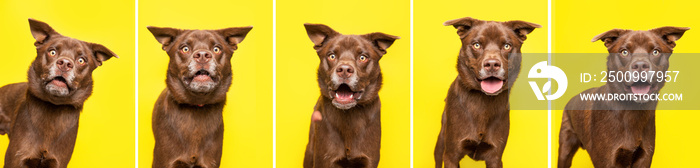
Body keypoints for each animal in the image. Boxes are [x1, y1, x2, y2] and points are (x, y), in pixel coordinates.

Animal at [0, 18, 117, 168]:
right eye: (52, 52)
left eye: (81, 60)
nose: (65, 63)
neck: (53, 106)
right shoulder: (15, 161)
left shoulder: (58, 162)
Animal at [302, 23, 400, 168]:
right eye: (332, 56)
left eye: (363, 57)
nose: (344, 70)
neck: (349, 114)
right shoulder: (324, 160)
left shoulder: (369, 160)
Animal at [432, 17, 540, 168]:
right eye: (476, 45)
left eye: (507, 46)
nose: (492, 64)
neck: (483, 100)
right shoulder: (451, 156)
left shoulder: (495, 157)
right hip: (441, 141)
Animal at [556, 26, 688, 167]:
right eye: (624, 52)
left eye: (655, 52)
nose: (640, 65)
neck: (632, 109)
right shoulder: (606, 161)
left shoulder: (644, 158)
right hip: (565, 148)